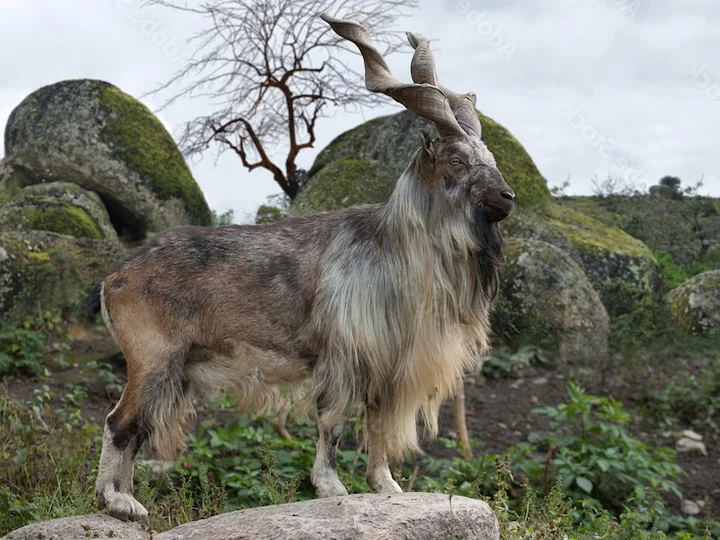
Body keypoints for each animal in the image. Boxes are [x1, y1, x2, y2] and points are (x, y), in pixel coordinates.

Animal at [90, 14, 515, 524]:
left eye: (491, 158)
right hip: (153, 358)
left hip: (171, 369)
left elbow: (376, 426)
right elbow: (331, 421)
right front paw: (332, 488)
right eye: (456, 159)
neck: (394, 252)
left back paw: (129, 504)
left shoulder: (388, 366)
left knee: (136, 427)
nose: (507, 197)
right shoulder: (341, 355)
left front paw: (386, 487)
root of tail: (114, 279)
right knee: (119, 422)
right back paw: (117, 502)